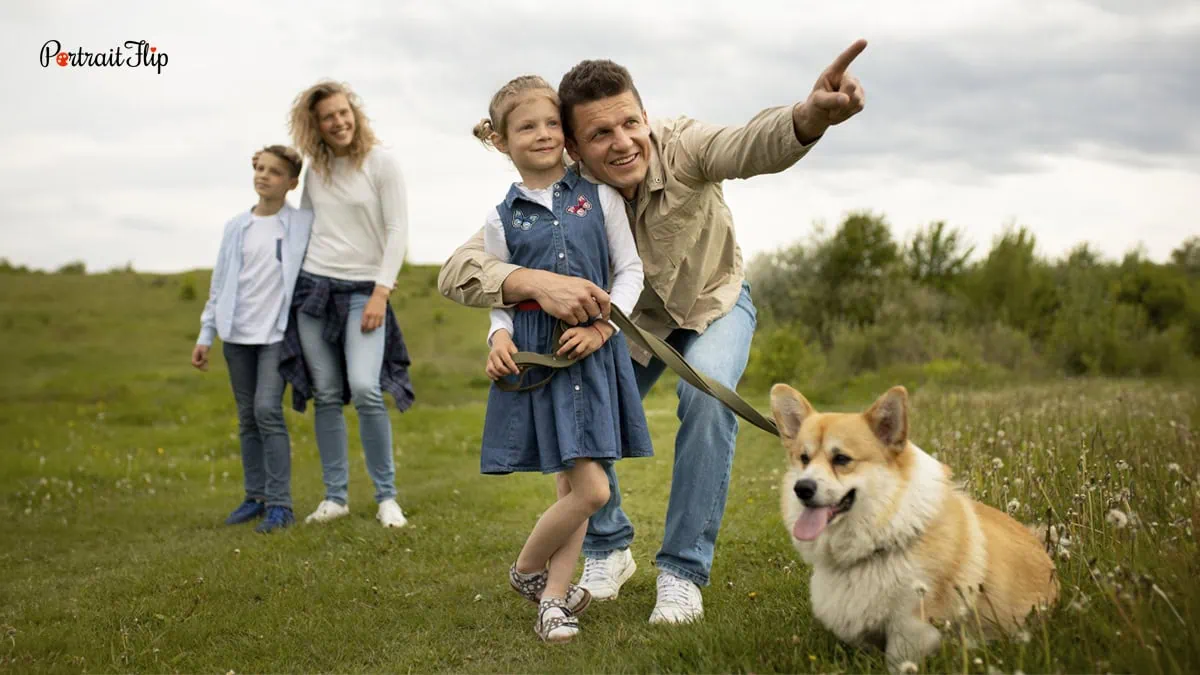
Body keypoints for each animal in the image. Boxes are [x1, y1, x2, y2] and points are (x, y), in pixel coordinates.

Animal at [772, 381, 1056, 667]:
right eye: (803, 458)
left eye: (841, 459)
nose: (802, 488)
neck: (886, 534)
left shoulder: (911, 627)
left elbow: (899, 662)